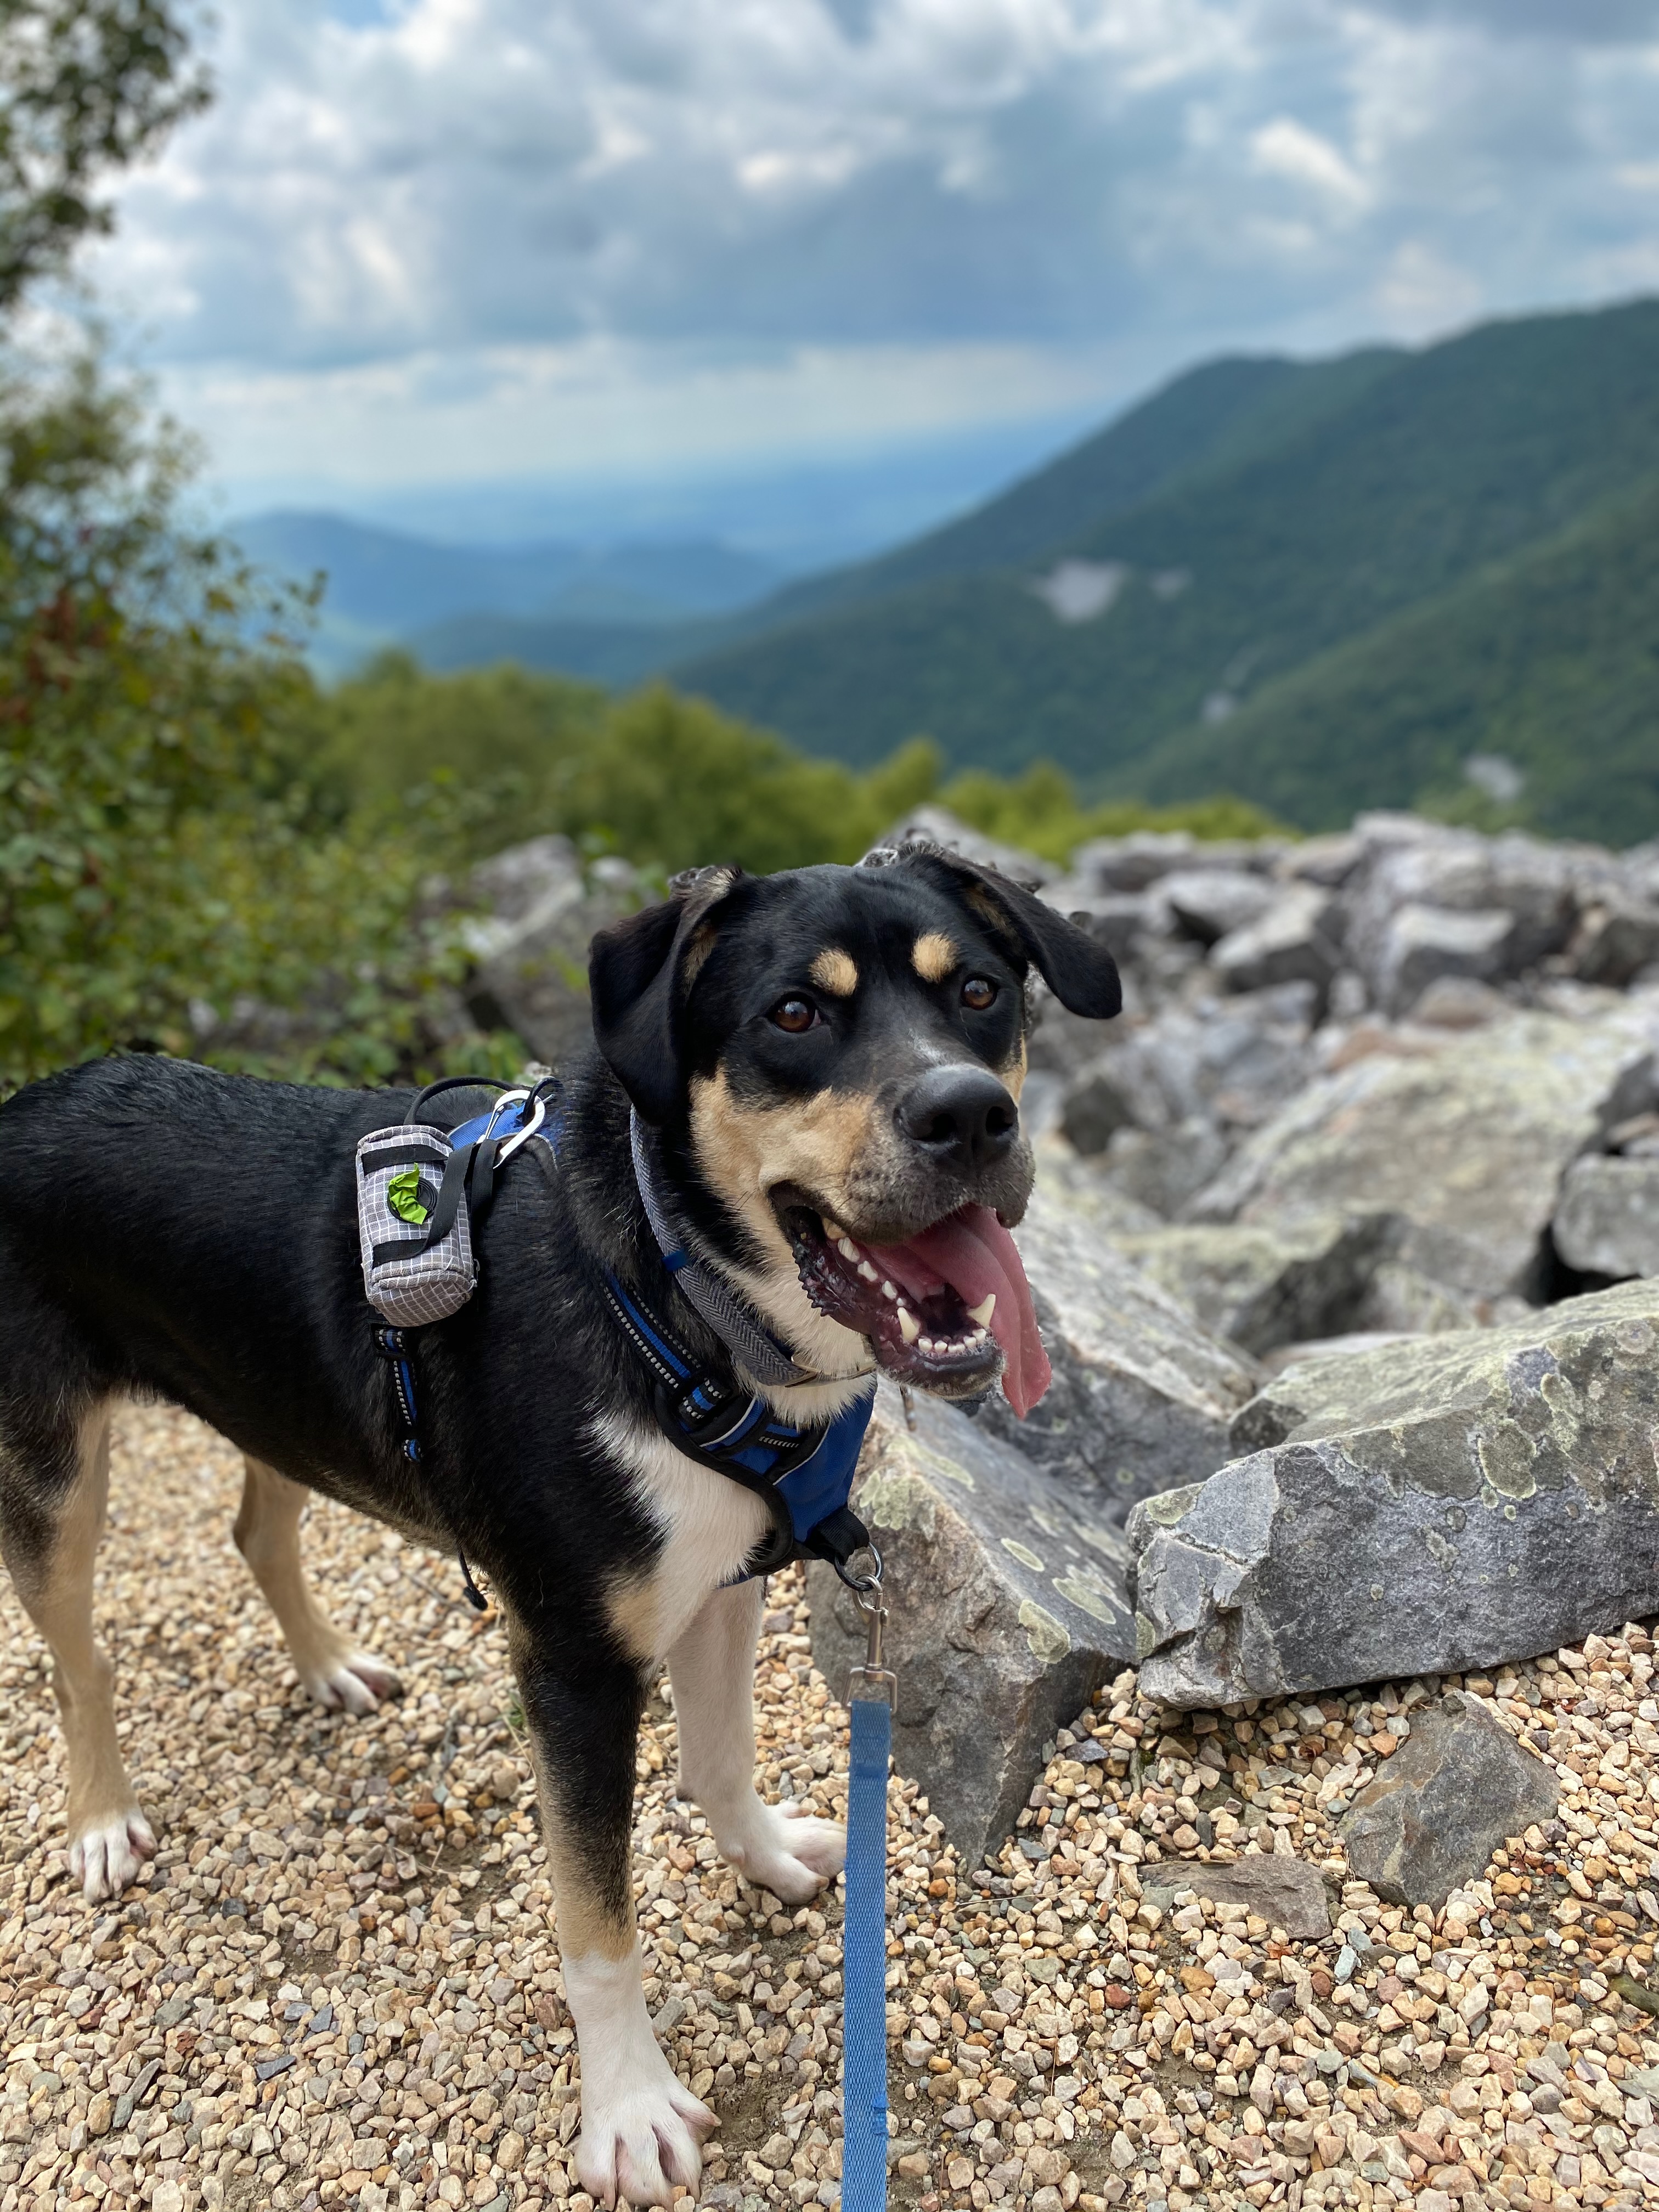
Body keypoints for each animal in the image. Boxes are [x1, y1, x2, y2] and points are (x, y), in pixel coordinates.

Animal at [0, 836, 1124, 2203]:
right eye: (792, 1016)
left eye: (976, 993)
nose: (970, 1115)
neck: (675, 1293)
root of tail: (21, 1103)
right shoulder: (575, 1663)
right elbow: (597, 1920)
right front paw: (628, 2108)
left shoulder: (730, 1570)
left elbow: (724, 1755)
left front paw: (763, 1856)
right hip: (54, 1468)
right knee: (76, 1659)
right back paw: (103, 1819)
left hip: (277, 1397)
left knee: (258, 1533)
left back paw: (328, 1670)